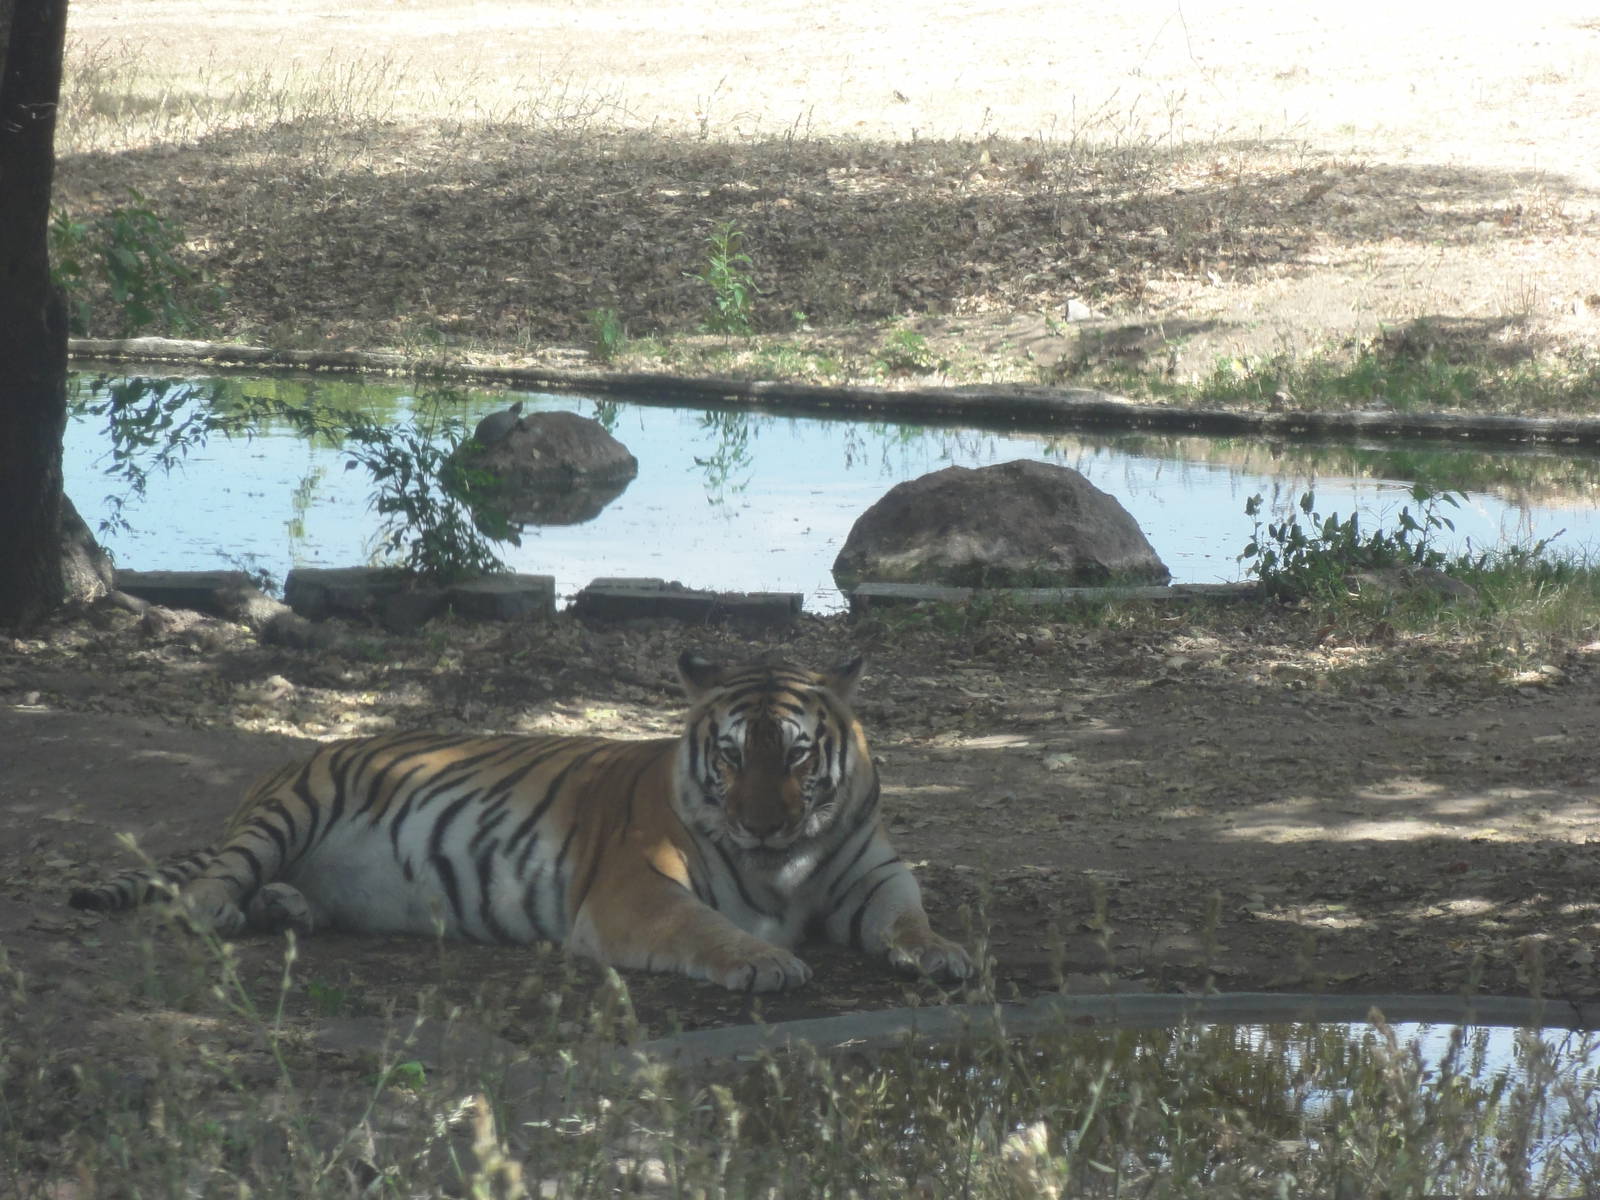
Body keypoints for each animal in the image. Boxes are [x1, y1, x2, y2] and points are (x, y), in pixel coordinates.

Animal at [69, 651, 972, 992]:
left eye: (793, 755)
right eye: (729, 758)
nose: (758, 826)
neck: (784, 863)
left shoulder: (874, 875)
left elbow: (909, 919)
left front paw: (946, 953)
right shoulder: (636, 890)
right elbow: (708, 929)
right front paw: (768, 961)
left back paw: (288, 909)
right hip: (293, 808)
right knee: (210, 886)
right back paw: (224, 912)